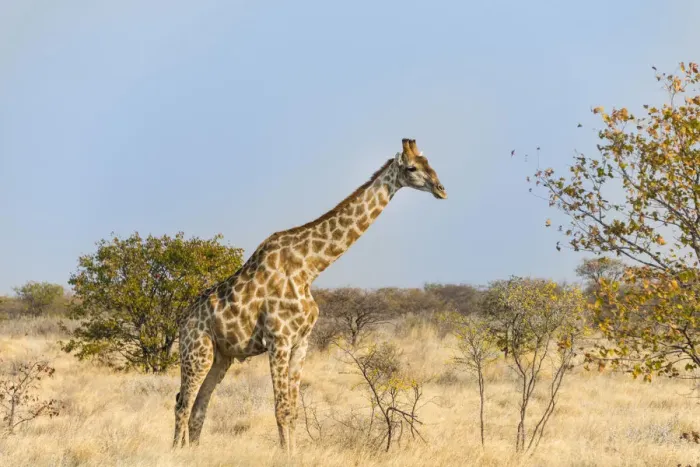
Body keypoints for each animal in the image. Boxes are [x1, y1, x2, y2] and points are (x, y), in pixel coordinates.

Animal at [173, 138, 447, 455]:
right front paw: (283, 455)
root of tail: (182, 321)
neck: (310, 267)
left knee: (198, 407)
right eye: (412, 167)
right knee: (182, 403)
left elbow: (292, 410)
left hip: (221, 357)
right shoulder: (278, 340)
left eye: (430, 163)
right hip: (197, 352)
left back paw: (192, 452)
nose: (441, 189)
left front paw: (292, 454)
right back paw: (176, 452)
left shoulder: (300, 342)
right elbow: (280, 409)